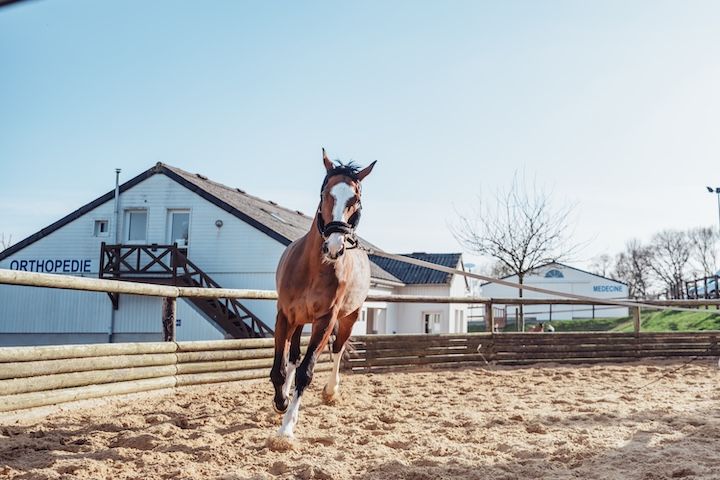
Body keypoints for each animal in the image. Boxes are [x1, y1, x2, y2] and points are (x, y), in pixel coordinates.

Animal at [270, 149, 376, 438]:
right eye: (325, 193)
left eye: (356, 199)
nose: (334, 247)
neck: (313, 268)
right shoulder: (285, 316)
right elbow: (280, 368)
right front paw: (281, 401)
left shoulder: (325, 321)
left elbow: (306, 372)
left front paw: (287, 429)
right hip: (298, 321)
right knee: (293, 356)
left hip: (349, 317)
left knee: (338, 349)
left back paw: (330, 391)